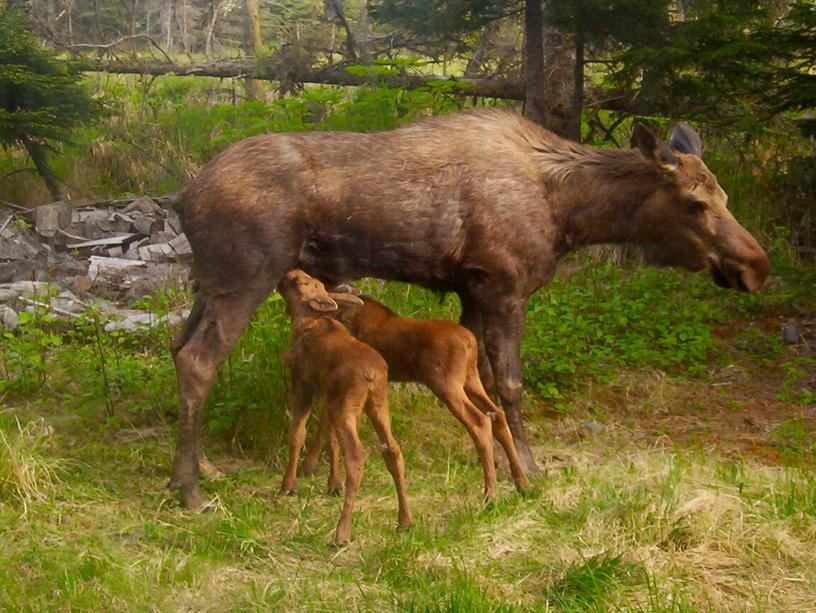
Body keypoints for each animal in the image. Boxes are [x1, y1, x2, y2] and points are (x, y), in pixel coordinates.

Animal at [278, 270, 412, 544]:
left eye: (298, 282)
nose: (287, 274)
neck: (303, 320)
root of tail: (371, 375)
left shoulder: (303, 384)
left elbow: (297, 434)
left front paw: (289, 485)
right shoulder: (329, 395)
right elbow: (330, 439)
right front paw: (332, 484)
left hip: (347, 406)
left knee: (357, 454)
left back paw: (342, 531)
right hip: (377, 405)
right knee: (393, 451)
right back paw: (405, 520)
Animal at [302, 292, 532, 502]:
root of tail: (470, 342)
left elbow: (328, 429)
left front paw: (322, 476)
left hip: (447, 384)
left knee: (480, 420)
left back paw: (490, 493)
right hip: (470, 379)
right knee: (498, 414)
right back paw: (522, 483)